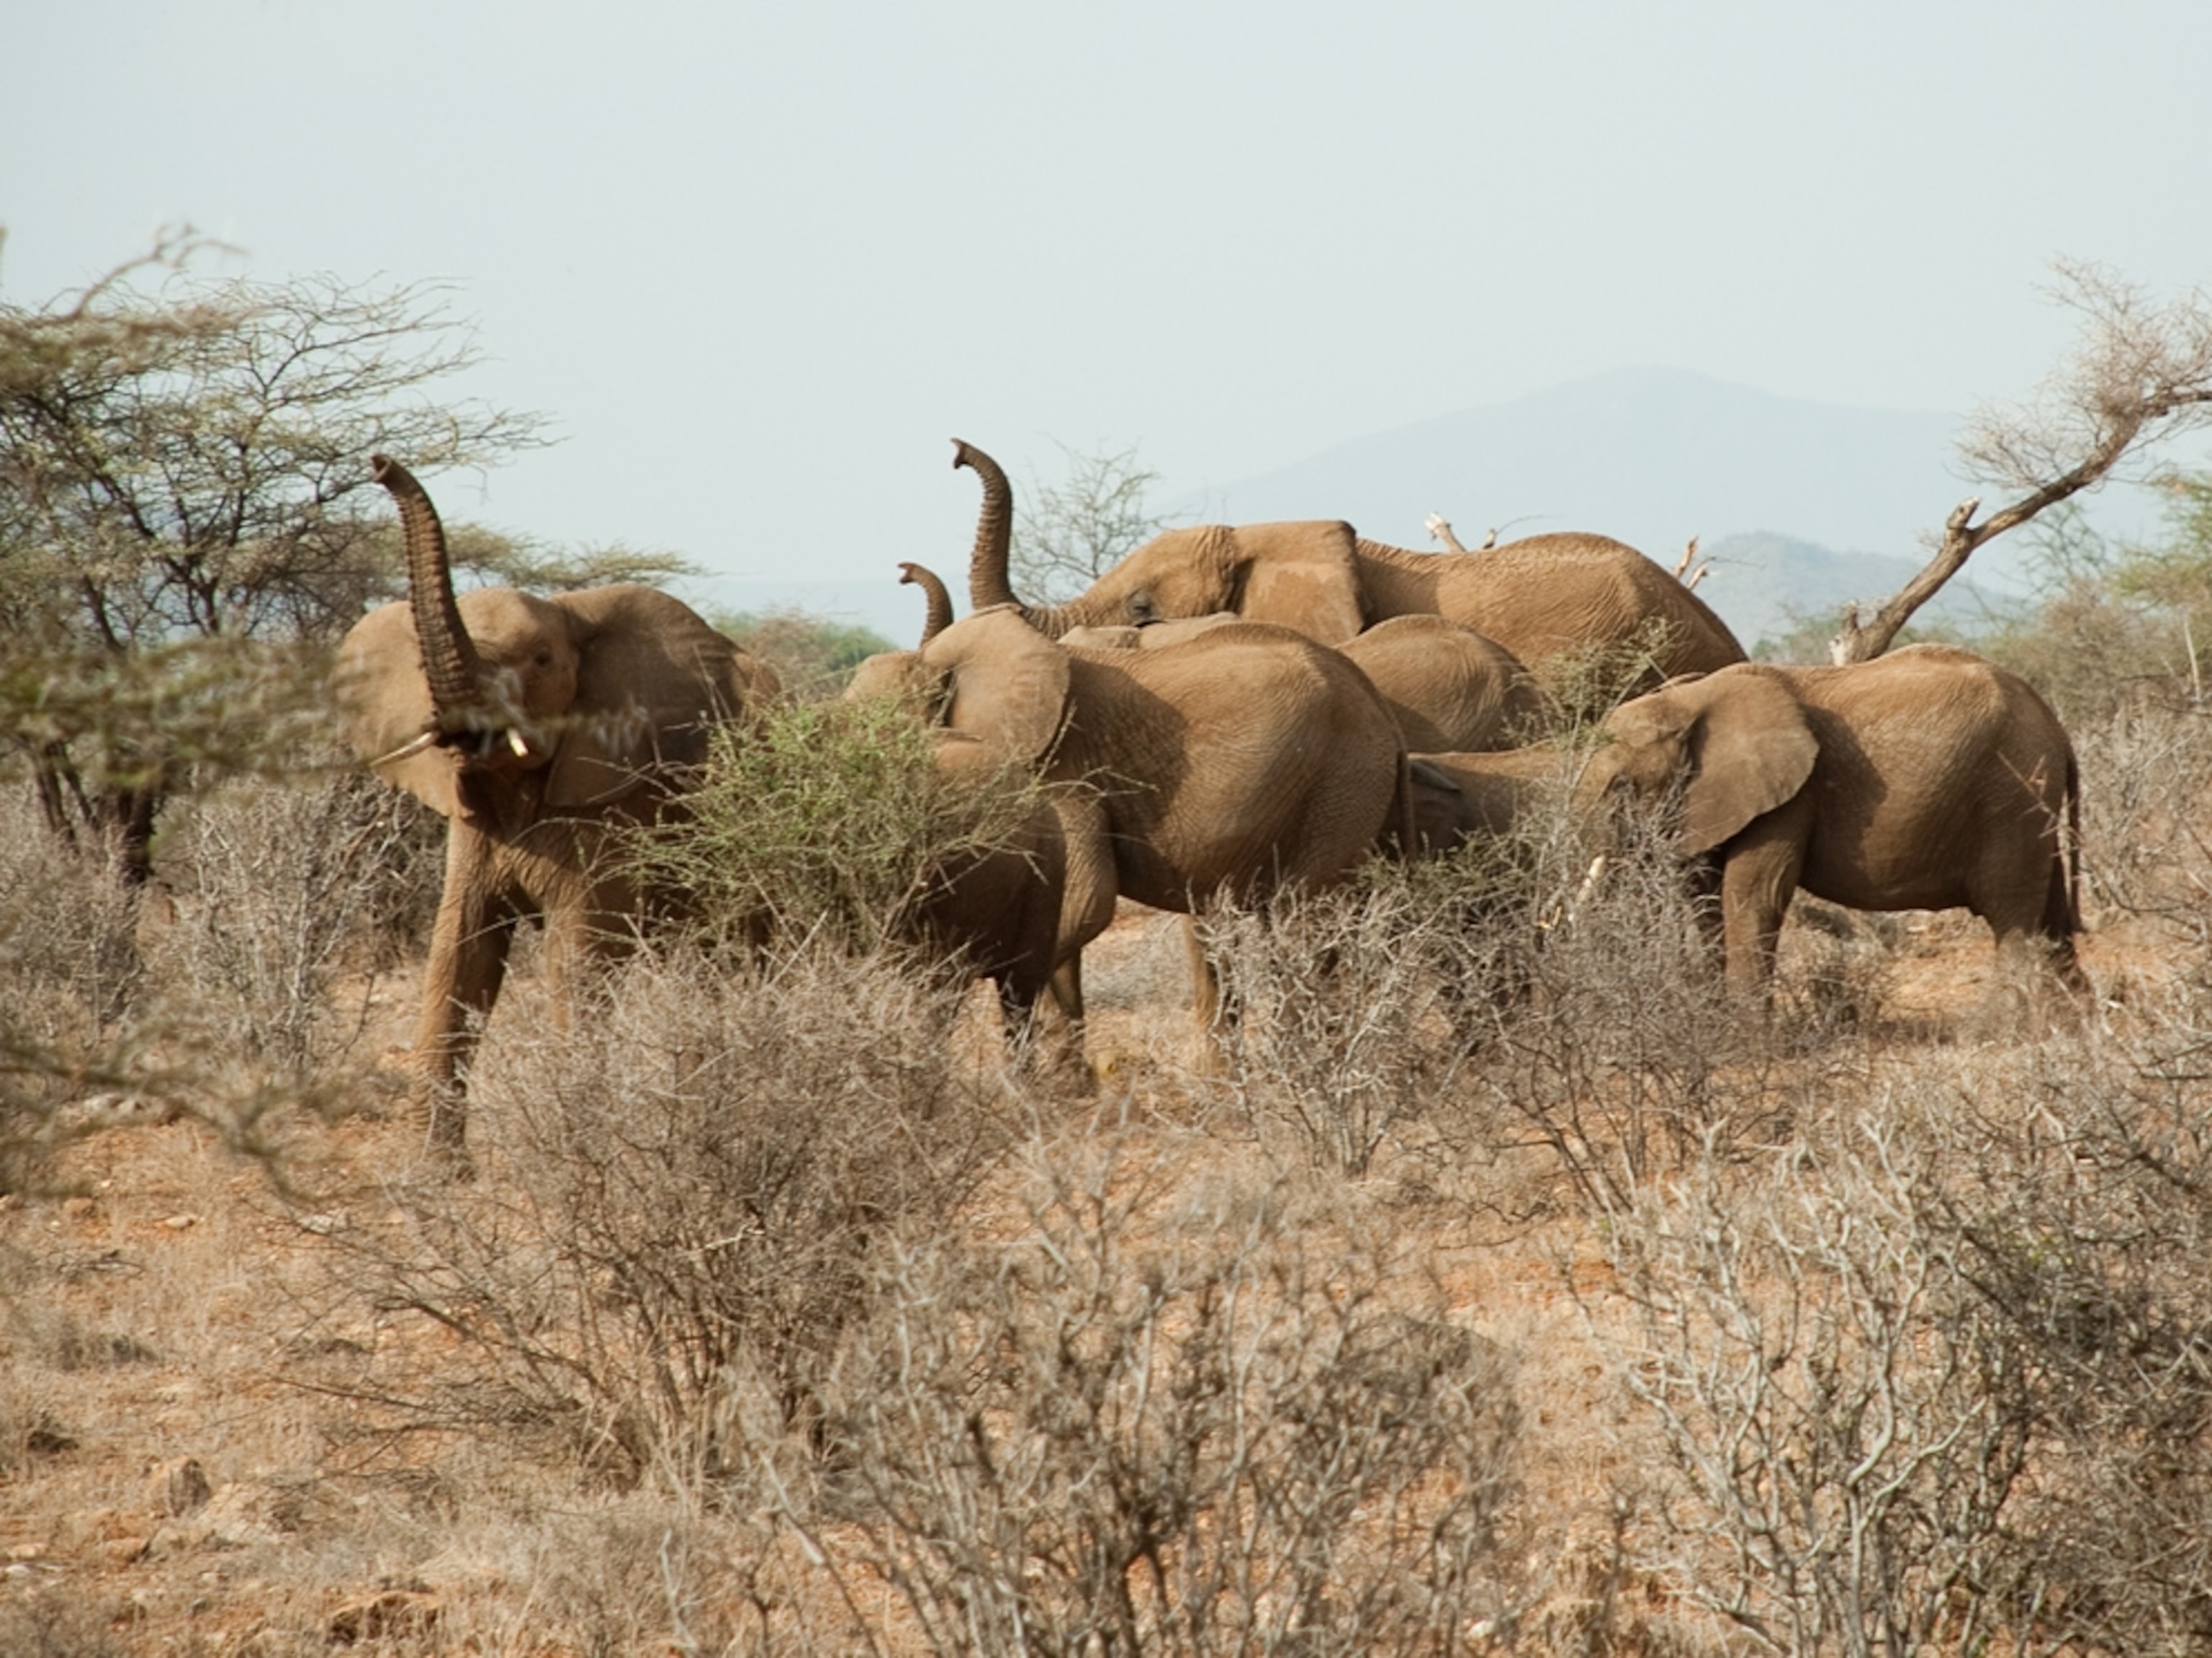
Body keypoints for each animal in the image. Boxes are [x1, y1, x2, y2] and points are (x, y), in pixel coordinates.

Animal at [333, 456, 779, 1158]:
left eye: (541, 661)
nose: (380, 464)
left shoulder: (617, 800)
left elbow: (576, 954)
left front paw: (577, 1153)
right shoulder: (475, 828)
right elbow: (459, 950)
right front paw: (432, 1171)